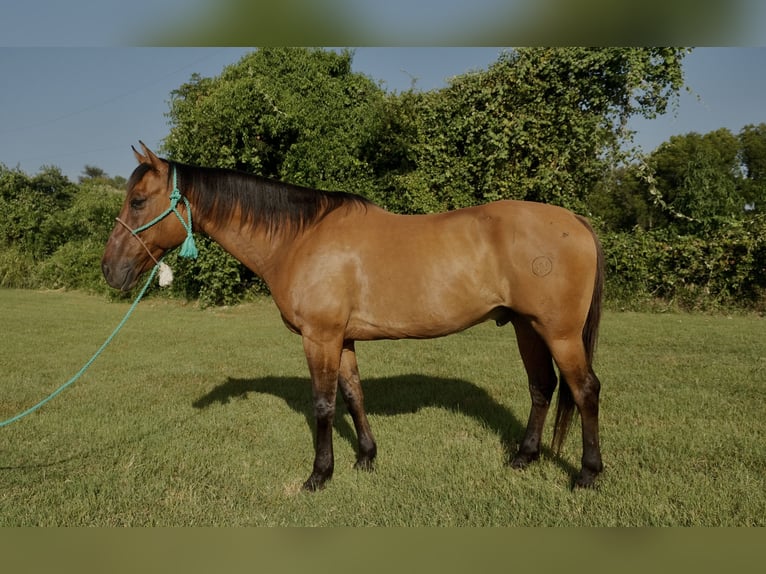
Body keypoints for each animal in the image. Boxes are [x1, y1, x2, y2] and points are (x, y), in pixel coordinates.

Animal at [100, 143, 608, 490]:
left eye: (138, 202)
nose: (110, 270)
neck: (300, 238)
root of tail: (577, 222)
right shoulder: (341, 339)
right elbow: (353, 396)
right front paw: (366, 458)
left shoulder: (319, 337)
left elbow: (324, 405)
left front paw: (319, 475)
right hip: (527, 327)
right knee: (542, 387)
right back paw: (524, 457)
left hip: (560, 333)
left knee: (585, 390)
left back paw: (587, 473)